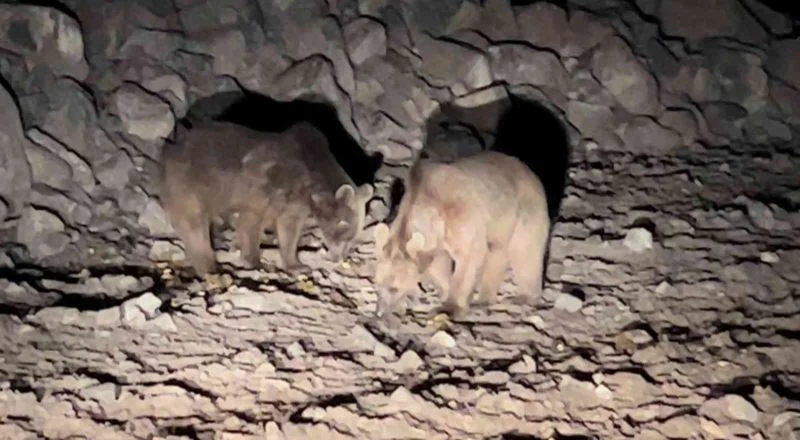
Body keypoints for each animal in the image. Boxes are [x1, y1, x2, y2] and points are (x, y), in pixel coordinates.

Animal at [159, 119, 373, 276]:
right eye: (344, 224)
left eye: (356, 233)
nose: (339, 257)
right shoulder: (267, 183)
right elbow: (253, 220)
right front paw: (254, 260)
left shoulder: (295, 203)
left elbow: (288, 229)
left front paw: (295, 264)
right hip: (189, 182)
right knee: (194, 224)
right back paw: (209, 266)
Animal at [372, 150, 550, 320]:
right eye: (377, 283)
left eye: (394, 288)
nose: (379, 312)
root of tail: (528, 170)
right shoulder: (437, 238)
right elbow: (439, 263)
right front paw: (445, 290)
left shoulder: (461, 215)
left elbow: (469, 256)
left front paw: (449, 307)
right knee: (497, 254)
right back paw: (483, 300)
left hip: (525, 209)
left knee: (525, 252)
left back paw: (525, 297)